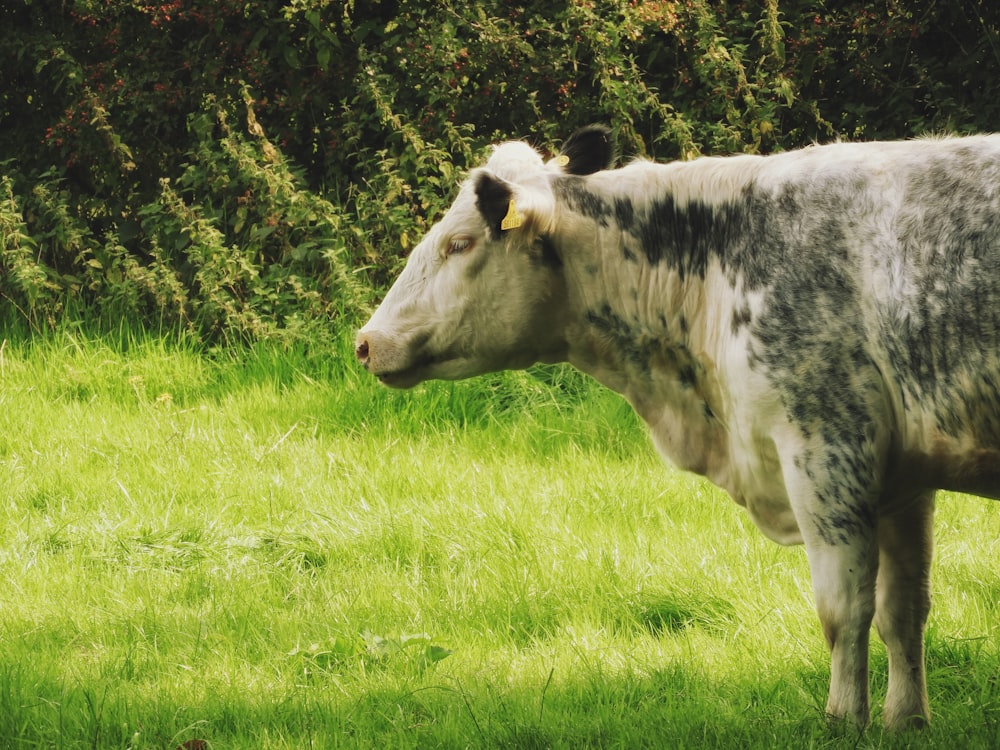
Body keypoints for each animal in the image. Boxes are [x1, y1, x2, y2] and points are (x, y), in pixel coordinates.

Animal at [354, 126, 1000, 732]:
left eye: (459, 243)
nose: (365, 342)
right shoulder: (904, 479)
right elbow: (903, 611)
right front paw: (907, 719)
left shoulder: (828, 448)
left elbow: (844, 612)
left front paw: (844, 720)